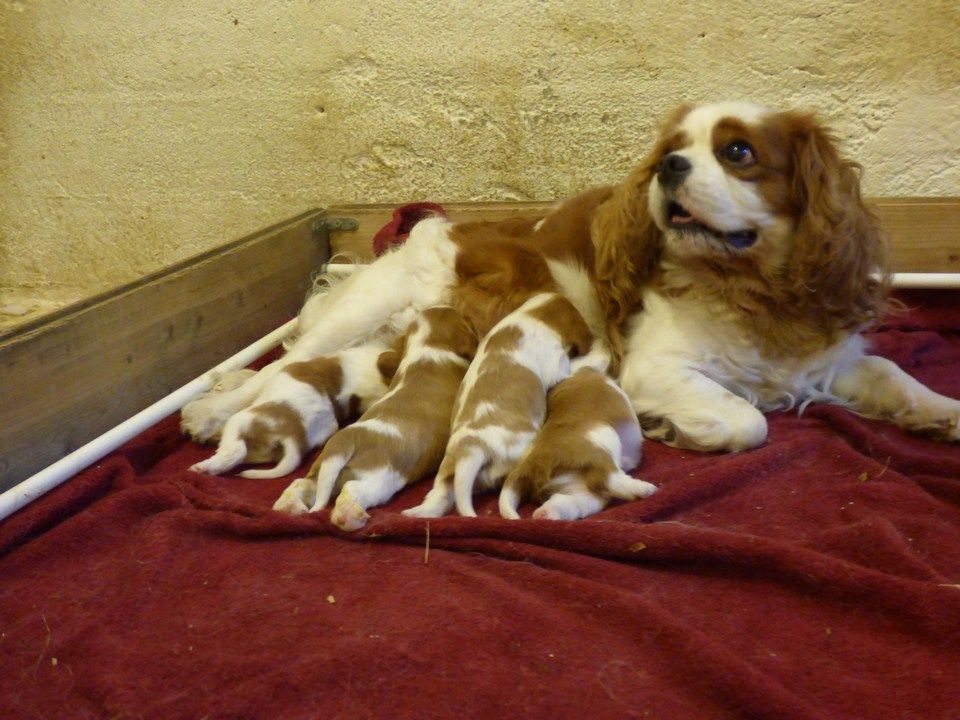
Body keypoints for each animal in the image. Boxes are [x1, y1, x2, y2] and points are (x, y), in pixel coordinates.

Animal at [274, 304, 476, 528]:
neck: (427, 349)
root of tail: (341, 446)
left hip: (322, 475)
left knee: (301, 483)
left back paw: (288, 505)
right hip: (378, 480)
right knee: (352, 490)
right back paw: (350, 516)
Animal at [402, 290, 596, 520]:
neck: (532, 313)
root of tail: (472, 448)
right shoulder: (556, 365)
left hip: (446, 476)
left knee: (438, 499)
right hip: (517, 455)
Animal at [498, 368, 656, 520]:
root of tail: (530, 466)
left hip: (576, 487)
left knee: (573, 501)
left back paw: (545, 514)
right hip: (602, 440)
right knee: (606, 479)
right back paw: (646, 489)